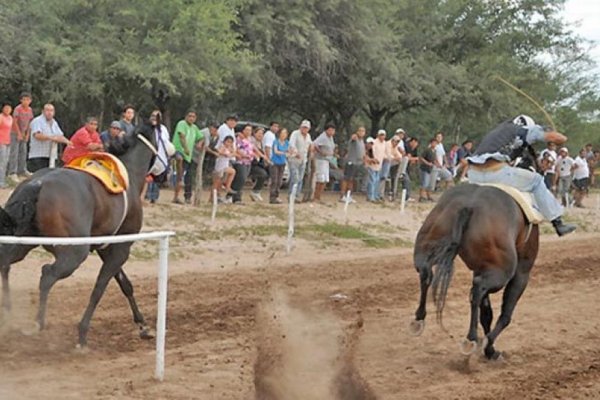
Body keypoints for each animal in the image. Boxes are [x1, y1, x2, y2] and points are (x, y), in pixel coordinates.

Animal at [0, 119, 159, 346]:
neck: (127, 173)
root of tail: (37, 183)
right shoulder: (121, 248)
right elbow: (99, 288)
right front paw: (82, 334)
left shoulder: (106, 248)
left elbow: (125, 284)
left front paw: (143, 325)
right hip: (74, 252)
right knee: (47, 275)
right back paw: (38, 322)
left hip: (23, 241)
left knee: (5, 263)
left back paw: (8, 311)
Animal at [410, 183, 540, 358]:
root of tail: (469, 205)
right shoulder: (521, 273)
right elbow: (505, 314)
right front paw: (489, 348)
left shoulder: (480, 269)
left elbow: (486, 313)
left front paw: (489, 349)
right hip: (500, 273)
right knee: (478, 290)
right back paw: (471, 338)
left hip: (428, 244)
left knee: (426, 273)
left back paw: (418, 319)